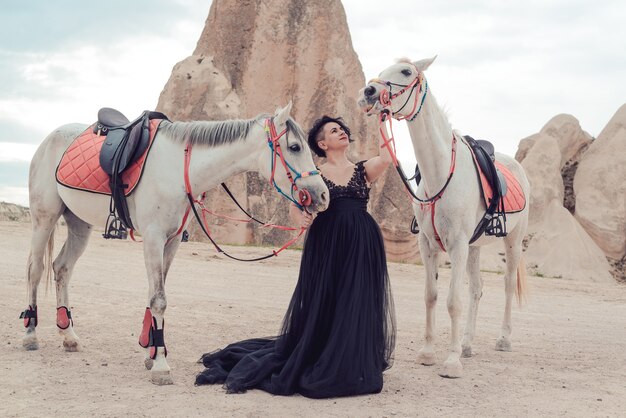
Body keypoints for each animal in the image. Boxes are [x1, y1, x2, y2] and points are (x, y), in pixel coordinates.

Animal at [22, 103, 330, 384]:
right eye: (294, 147)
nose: (323, 195)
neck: (179, 170)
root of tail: (50, 138)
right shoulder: (154, 238)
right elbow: (159, 300)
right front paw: (160, 364)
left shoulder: (171, 243)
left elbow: (155, 295)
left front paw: (151, 350)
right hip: (44, 218)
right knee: (36, 271)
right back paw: (30, 333)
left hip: (79, 225)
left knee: (62, 268)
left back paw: (68, 336)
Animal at [356, 56, 528, 378]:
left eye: (406, 71)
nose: (368, 92)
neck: (439, 172)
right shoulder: (428, 244)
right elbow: (432, 296)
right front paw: (428, 353)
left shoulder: (457, 245)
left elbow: (453, 301)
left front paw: (451, 361)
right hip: (475, 247)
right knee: (477, 289)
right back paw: (468, 344)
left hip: (512, 242)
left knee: (508, 285)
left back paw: (504, 339)